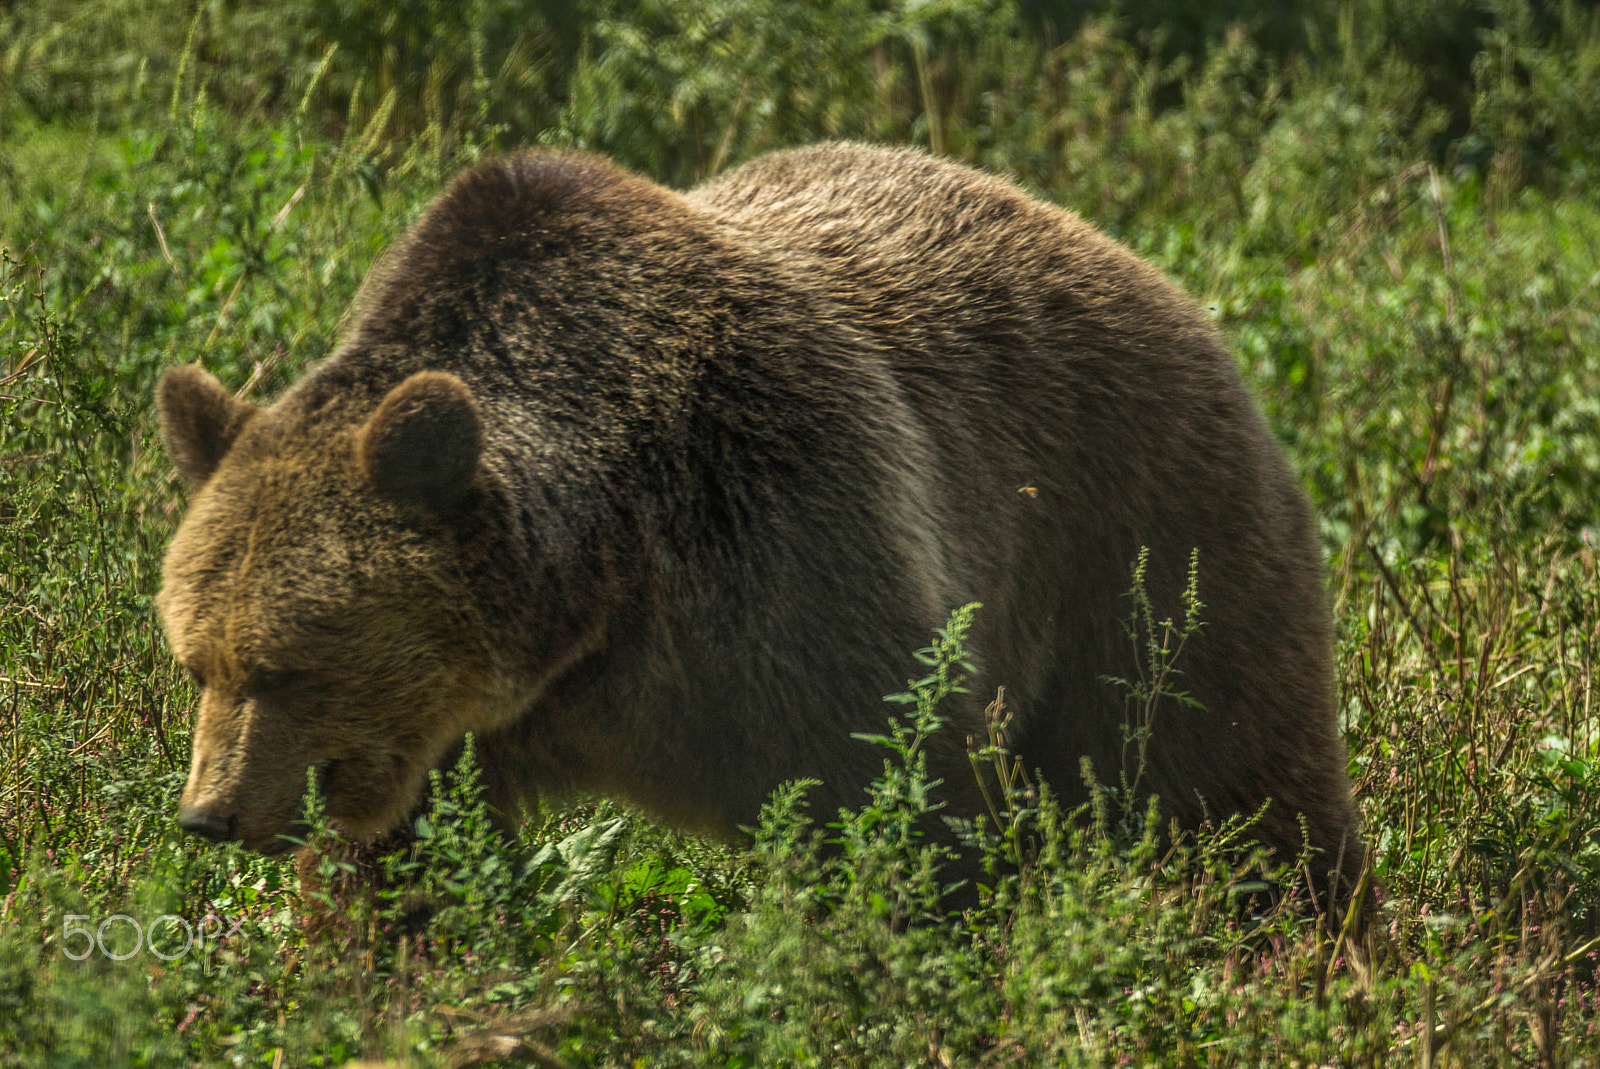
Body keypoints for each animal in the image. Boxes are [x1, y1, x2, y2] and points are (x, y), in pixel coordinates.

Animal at [155, 142, 1364, 892]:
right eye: (196, 658)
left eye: (291, 663)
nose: (209, 815)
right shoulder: (455, 733)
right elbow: (399, 867)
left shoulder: (777, 539)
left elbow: (898, 798)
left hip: (1143, 544)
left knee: (1234, 781)